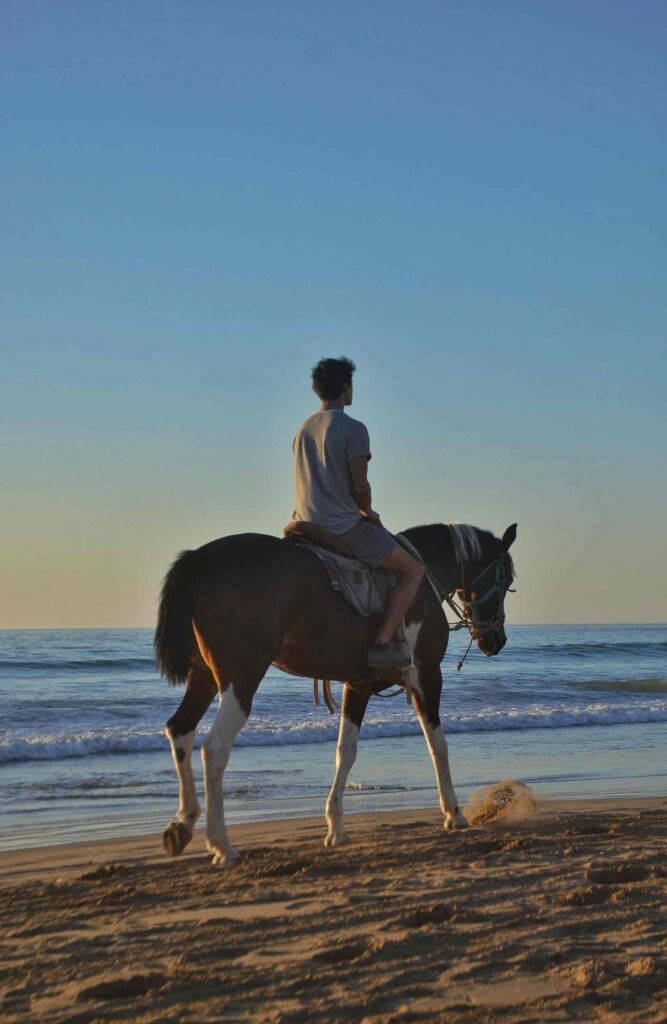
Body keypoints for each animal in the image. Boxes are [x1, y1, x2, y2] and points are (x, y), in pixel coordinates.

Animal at [155, 520, 516, 864]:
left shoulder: (358, 685)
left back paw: (182, 824)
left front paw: (336, 827)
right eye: (507, 580)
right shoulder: (426, 676)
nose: (496, 640)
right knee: (214, 748)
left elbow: (346, 751)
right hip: (241, 677)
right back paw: (221, 844)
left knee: (180, 730)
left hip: (203, 676)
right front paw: (453, 812)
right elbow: (437, 745)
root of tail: (203, 557)